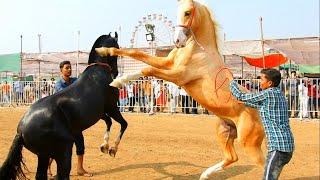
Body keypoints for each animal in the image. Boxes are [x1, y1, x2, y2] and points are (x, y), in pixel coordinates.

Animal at [0, 32, 127, 180]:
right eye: (117, 47)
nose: (116, 72)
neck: (97, 72)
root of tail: (21, 130)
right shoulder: (112, 108)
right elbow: (123, 124)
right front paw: (112, 149)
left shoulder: (101, 113)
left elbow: (109, 122)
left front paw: (105, 146)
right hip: (64, 150)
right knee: (63, 174)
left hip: (44, 155)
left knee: (41, 174)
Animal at [96, 0, 264, 179]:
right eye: (177, 11)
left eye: (188, 12)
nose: (177, 41)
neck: (198, 50)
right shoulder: (167, 63)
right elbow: (136, 53)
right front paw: (104, 51)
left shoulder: (178, 76)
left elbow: (148, 69)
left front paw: (118, 81)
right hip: (224, 131)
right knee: (232, 157)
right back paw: (204, 174)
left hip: (249, 144)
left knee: (265, 163)